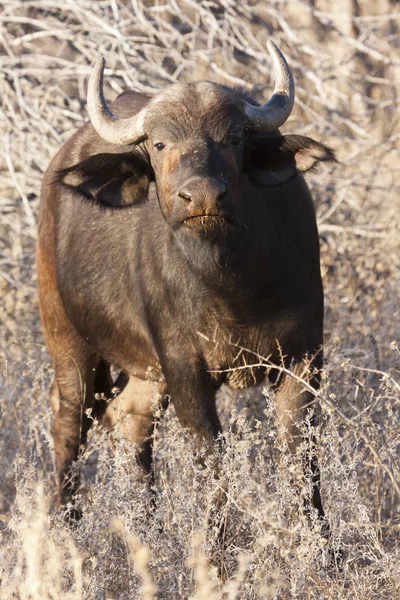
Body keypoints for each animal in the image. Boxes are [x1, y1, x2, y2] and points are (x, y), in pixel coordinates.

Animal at [36, 42, 334, 520]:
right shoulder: (183, 368)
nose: (203, 197)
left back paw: (147, 522)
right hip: (65, 337)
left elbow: (299, 462)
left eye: (234, 137)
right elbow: (212, 462)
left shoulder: (303, 357)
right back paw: (68, 523)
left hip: (145, 373)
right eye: (159, 143)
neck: (232, 289)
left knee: (129, 420)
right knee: (69, 420)